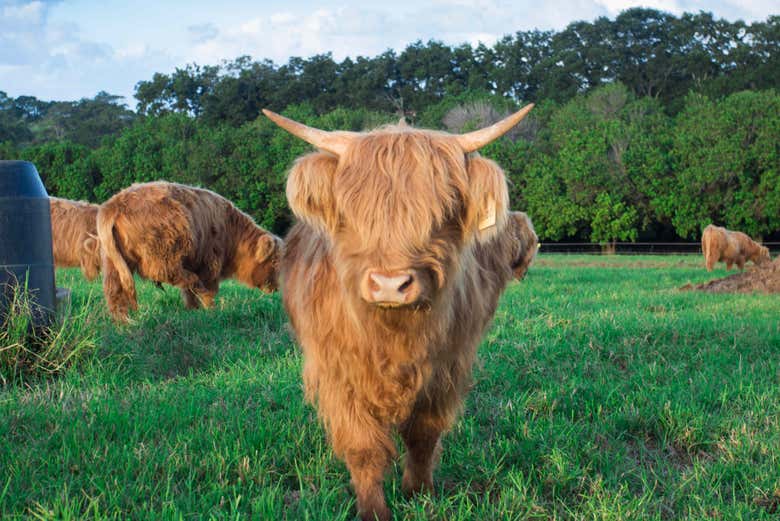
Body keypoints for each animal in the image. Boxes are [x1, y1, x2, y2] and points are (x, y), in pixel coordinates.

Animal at [97, 181, 281, 322]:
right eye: (274, 261)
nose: (277, 287)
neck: (232, 234)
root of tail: (114, 205)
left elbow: (188, 293)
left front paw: (193, 309)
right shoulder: (210, 261)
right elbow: (209, 287)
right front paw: (209, 307)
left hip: (113, 262)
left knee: (114, 290)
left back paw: (121, 320)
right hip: (163, 256)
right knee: (172, 274)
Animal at [265, 103, 534, 521]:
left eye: (444, 211)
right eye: (352, 212)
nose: (390, 284)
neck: (393, 334)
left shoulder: (446, 368)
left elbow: (423, 434)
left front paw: (419, 493)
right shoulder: (339, 373)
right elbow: (363, 448)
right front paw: (374, 509)